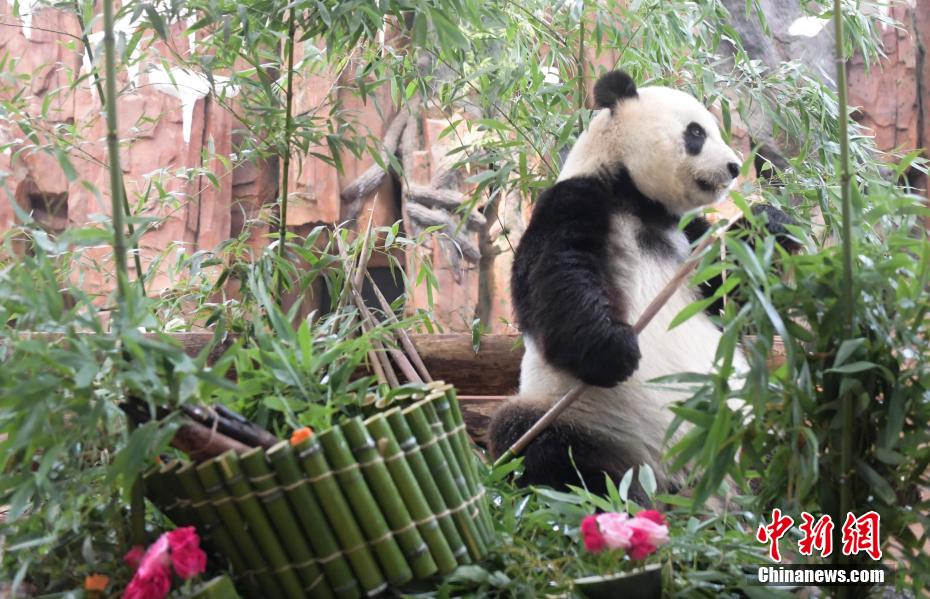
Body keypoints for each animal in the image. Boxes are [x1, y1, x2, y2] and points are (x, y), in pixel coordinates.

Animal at [486, 70, 752, 502]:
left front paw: (772, 228)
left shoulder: (690, 233)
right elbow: (558, 273)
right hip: (585, 417)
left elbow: (726, 289)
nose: (733, 166)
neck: (641, 201)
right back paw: (612, 496)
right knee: (538, 445)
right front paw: (616, 350)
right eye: (696, 132)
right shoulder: (577, 200)